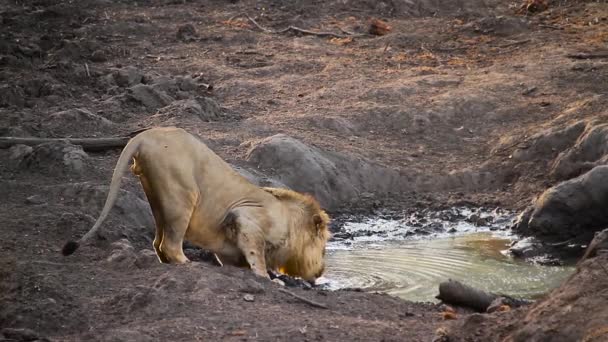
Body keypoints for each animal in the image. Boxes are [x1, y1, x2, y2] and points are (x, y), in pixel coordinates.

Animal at [61, 127, 332, 282]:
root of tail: (144, 135)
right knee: (170, 244)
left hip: (158, 199)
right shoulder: (244, 217)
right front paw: (268, 278)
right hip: (183, 197)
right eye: (323, 248)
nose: (321, 272)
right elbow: (257, 255)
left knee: (158, 242)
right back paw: (188, 264)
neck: (290, 220)